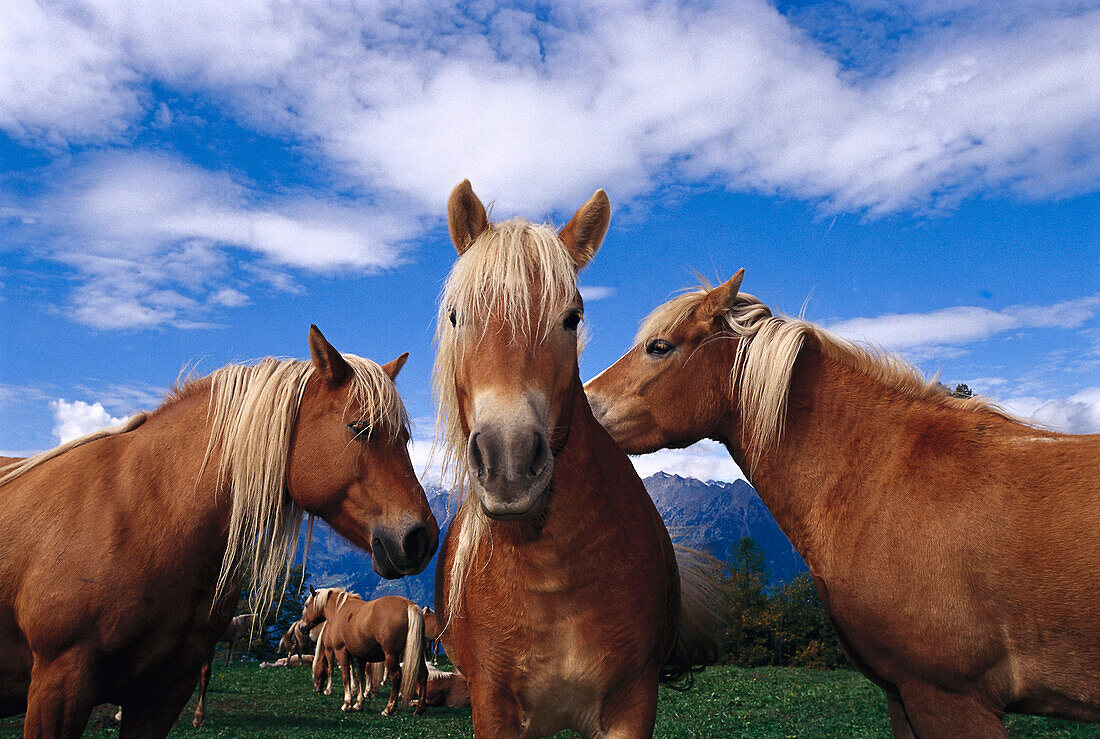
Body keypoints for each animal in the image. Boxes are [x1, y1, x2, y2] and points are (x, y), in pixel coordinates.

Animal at [0, 325, 437, 739]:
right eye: (360, 428)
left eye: (405, 437)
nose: (422, 538)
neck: (144, 514)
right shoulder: (60, 684)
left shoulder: (164, 690)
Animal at [429, 180, 721, 739]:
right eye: (457, 316)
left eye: (571, 318)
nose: (508, 461)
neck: (554, 575)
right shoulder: (493, 707)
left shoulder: (632, 706)